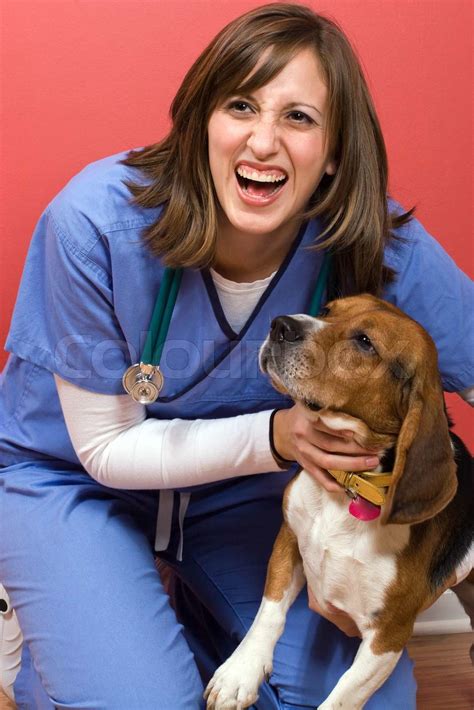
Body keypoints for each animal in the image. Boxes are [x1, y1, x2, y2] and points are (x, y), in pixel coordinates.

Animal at [206, 296, 472, 710]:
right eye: (329, 309)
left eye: (365, 342)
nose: (280, 325)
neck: (347, 491)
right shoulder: (289, 538)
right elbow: (268, 615)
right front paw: (240, 674)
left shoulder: (388, 636)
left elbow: (342, 697)